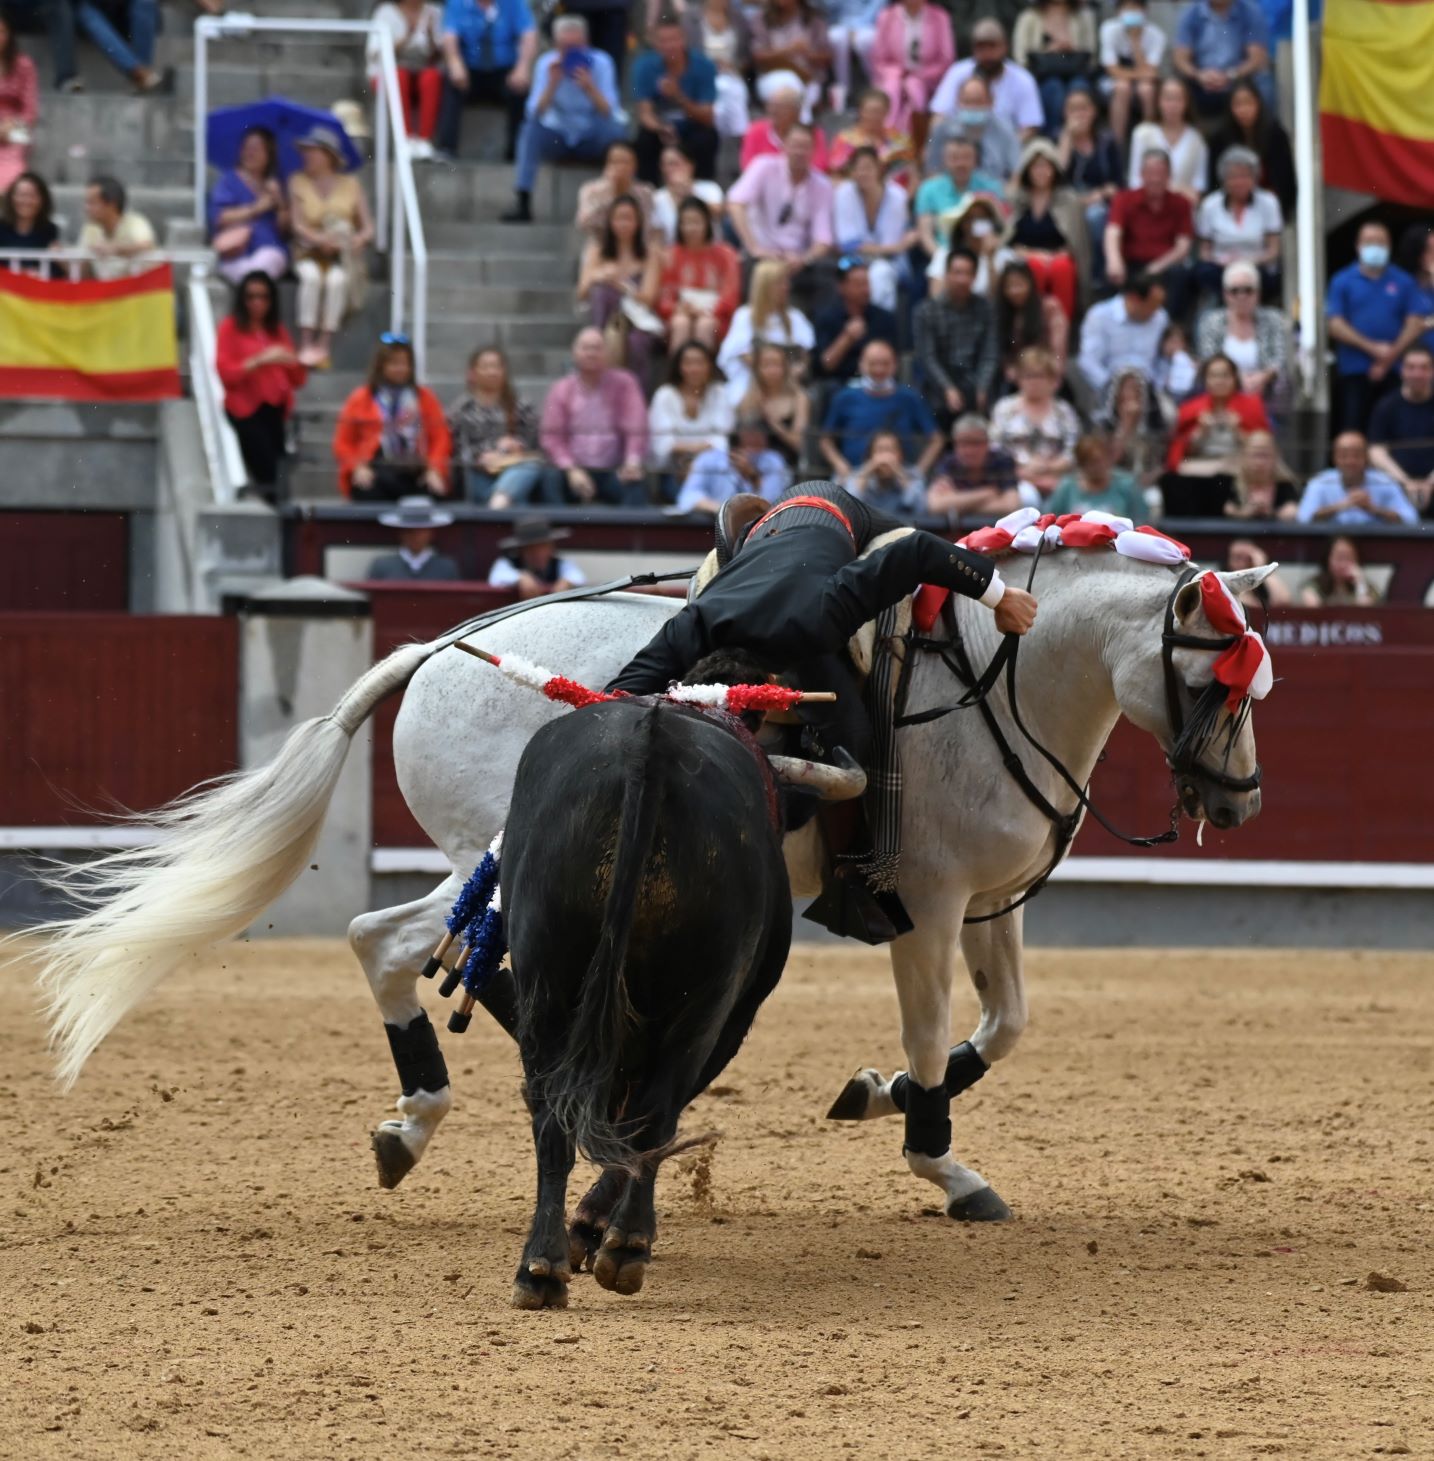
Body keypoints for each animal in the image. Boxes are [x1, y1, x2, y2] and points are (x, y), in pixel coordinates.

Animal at [30, 551, 1273, 1221]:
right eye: (1222, 679)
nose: (1241, 802)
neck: (994, 685)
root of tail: (441, 647)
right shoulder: (920, 910)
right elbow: (934, 1043)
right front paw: (944, 1161)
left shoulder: (986, 908)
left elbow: (1004, 1028)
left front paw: (869, 1093)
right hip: (498, 860)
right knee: (406, 944)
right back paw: (453, 1117)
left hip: (482, 864)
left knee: (394, 942)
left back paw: (417, 1123)